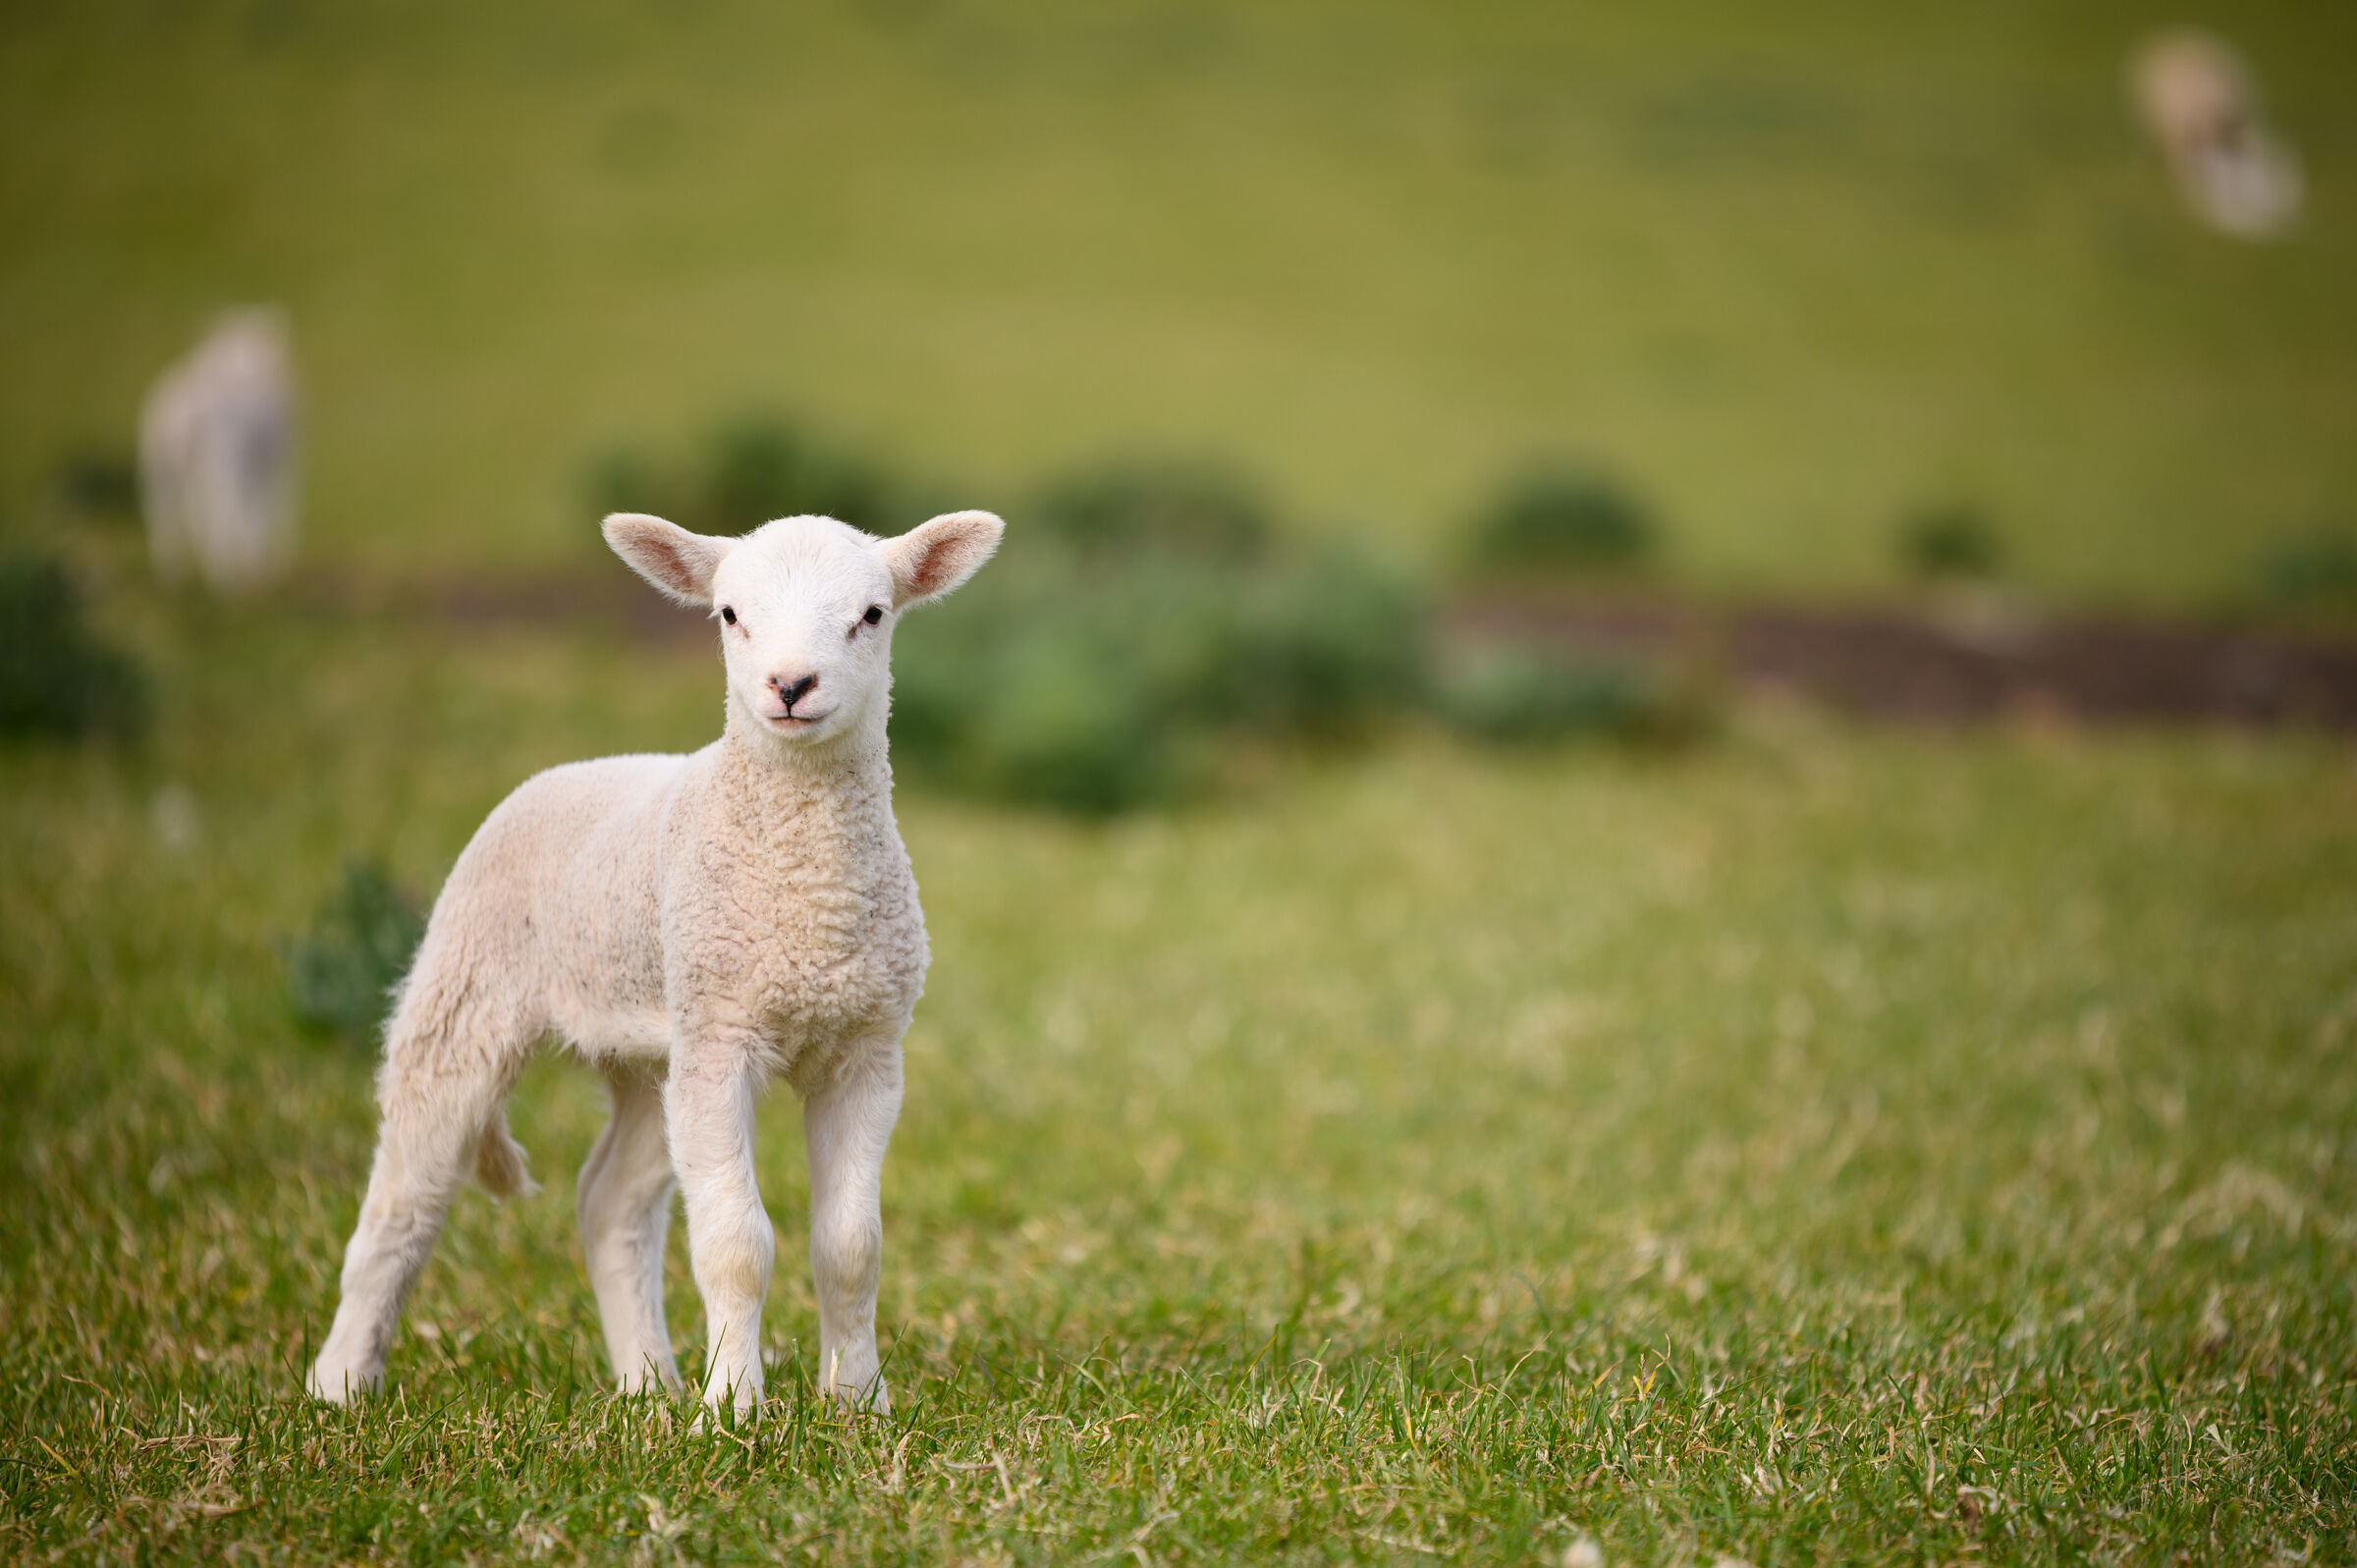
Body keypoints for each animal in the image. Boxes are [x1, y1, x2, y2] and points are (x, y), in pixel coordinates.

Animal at [140, 309, 300, 593]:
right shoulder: (282, 463)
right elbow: (274, 511)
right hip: (226, 465)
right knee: (224, 513)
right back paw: (227, 577)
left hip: (163, 470)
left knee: (171, 514)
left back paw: (179, 574)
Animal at [307, 507, 1004, 1417]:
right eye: (730, 614)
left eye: (873, 614)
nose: (790, 685)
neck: (806, 897)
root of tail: (581, 767)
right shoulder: (722, 1037)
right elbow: (736, 1242)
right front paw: (734, 1409)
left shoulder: (864, 1048)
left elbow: (852, 1245)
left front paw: (857, 1402)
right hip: (469, 986)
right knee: (405, 1198)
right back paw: (339, 1385)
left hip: (652, 1047)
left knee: (610, 1202)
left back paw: (648, 1383)